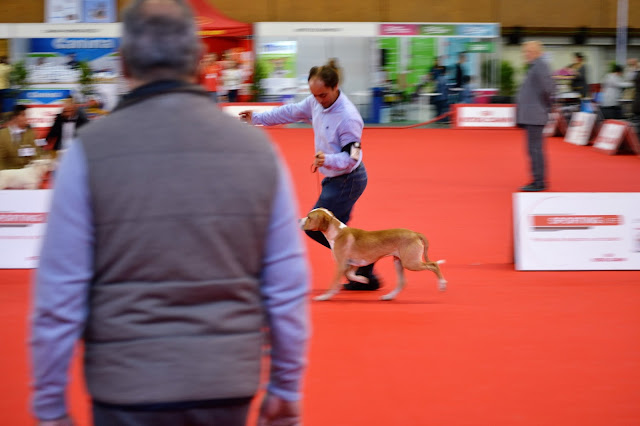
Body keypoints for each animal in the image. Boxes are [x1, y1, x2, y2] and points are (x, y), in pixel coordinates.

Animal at [299, 208, 447, 301]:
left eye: (309, 217)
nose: (298, 220)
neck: (337, 232)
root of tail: (415, 233)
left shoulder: (341, 264)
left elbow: (334, 282)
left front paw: (324, 297)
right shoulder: (353, 263)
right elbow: (350, 274)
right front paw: (364, 280)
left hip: (411, 262)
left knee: (434, 265)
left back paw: (442, 284)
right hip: (399, 261)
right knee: (402, 282)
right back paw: (389, 297)